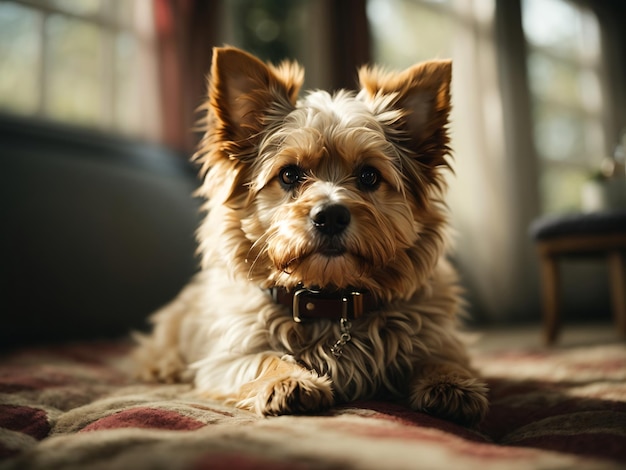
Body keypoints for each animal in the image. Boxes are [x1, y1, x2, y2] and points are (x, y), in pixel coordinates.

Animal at [133, 45, 488, 426]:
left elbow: (438, 357)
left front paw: (451, 384)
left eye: (369, 176)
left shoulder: (442, 340)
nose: (330, 216)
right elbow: (265, 358)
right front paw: (289, 380)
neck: (331, 301)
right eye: (289, 174)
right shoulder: (225, 358)